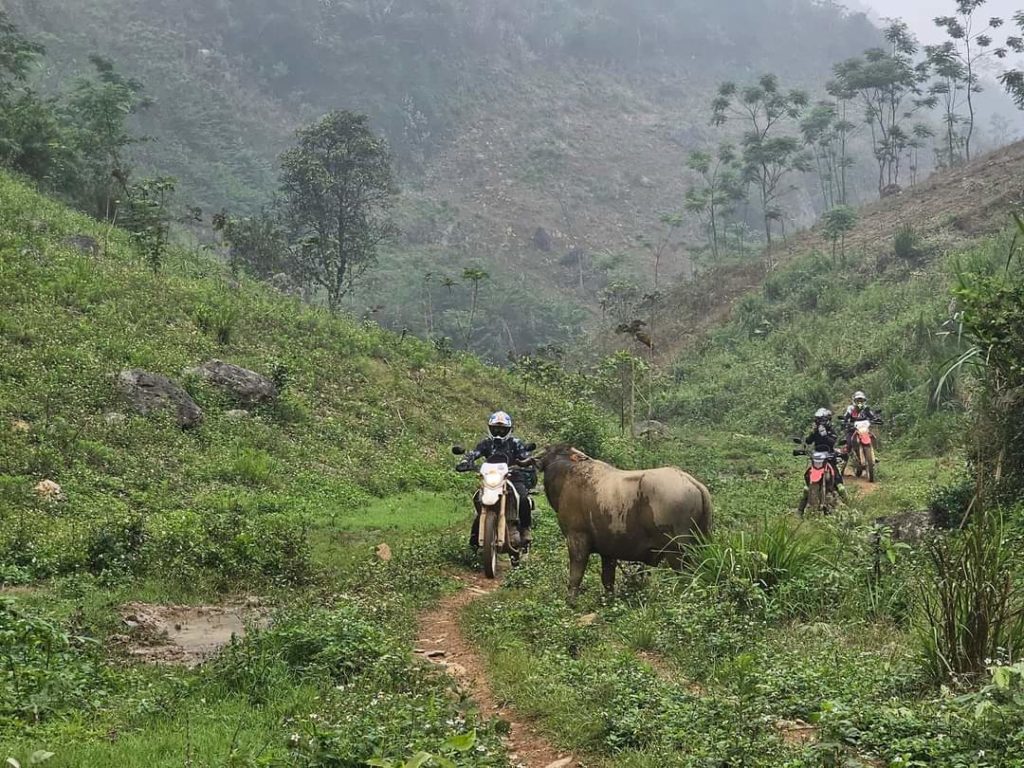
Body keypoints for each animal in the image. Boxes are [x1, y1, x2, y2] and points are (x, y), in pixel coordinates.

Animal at [536, 444, 712, 602]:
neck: (567, 474)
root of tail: (693, 483)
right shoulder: (608, 552)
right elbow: (607, 579)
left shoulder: (576, 539)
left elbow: (576, 576)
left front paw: (570, 602)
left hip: (677, 552)